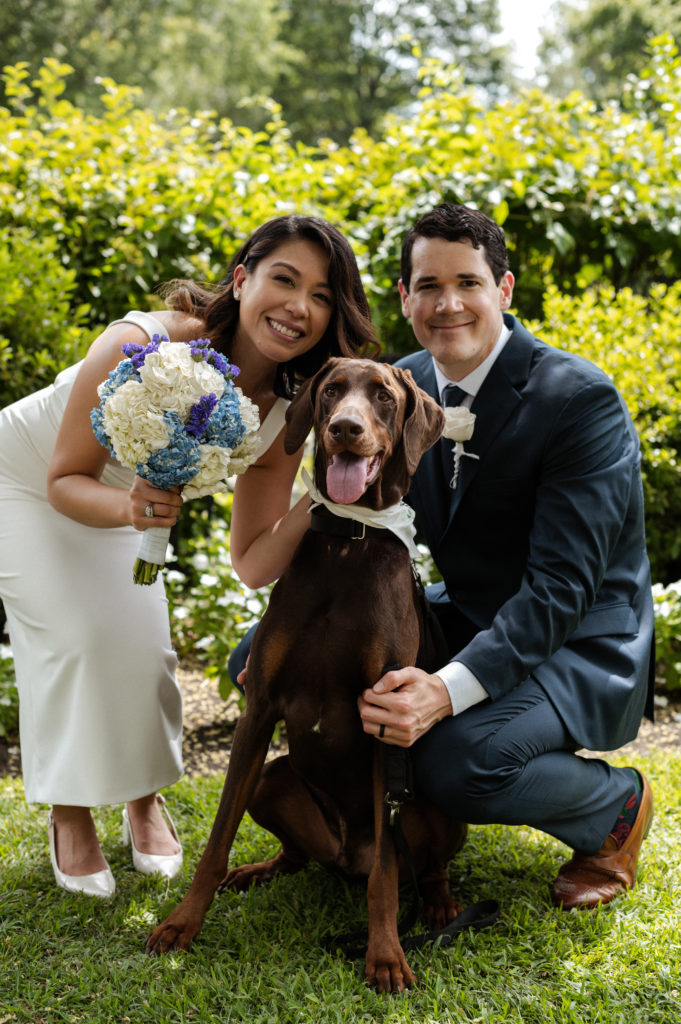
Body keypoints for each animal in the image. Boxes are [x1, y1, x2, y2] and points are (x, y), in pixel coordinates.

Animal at [146, 358, 466, 991]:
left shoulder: (385, 716)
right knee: (298, 855)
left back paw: (439, 904)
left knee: (416, 867)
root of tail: (345, 855)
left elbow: (386, 876)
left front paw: (385, 955)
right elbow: (216, 839)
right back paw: (259, 871)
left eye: (384, 397)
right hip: (274, 779)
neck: (347, 545)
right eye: (331, 391)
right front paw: (182, 923)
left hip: (433, 805)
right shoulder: (260, 708)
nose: (344, 429)